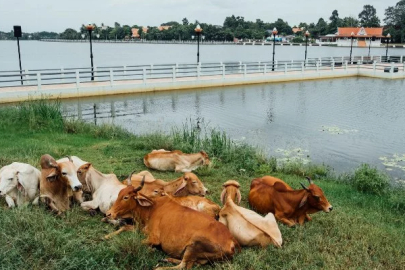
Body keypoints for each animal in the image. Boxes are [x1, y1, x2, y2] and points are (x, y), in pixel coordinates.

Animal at [105, 179, 237, 270]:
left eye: (126, 197)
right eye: (119, 194)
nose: (108, 214)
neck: (151, 208)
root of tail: (232, 243)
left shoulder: (154, 238)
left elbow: (140, 242)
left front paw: (151, 250)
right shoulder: (141, 228)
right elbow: (124, 227)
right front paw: (107, 236)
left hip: (194, 244)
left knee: (183, 266)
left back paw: (159, 267)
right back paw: (167, 258)